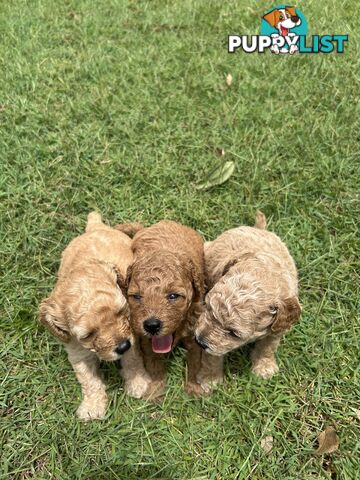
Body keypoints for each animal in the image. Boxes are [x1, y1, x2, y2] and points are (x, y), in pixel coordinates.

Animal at [39, 213, 150, 420]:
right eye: (88, 334)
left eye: (121, 311)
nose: (122, 346)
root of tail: (95, 226)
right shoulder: (75, 348)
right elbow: (88, 378)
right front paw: (92, 406)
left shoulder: (130, 334)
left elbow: (132, 360)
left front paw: (138, 384)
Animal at [118, 220, 208, 398]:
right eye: (136, 296)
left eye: (173, 296)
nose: (152, 325)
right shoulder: (146, 340)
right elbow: (154, 364)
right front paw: (155, 391)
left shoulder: (194, 327)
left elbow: (195, 361)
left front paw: (194, 389)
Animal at [194, 211, 300, 390]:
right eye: (207, 307)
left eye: (233, 333)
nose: (199, 341)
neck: (266, 271)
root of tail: (258, 228)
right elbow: (211, 357)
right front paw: (210, 379)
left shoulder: (278, 327)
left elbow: (267, 347)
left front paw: (264, 367)